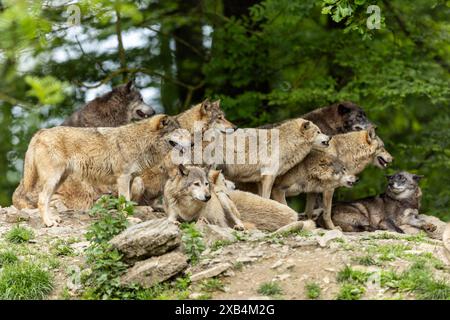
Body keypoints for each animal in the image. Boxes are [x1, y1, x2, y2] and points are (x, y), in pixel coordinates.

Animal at [22, 114, 190, 226]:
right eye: (178, 132)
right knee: (42, 199)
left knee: (47, 200)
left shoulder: (130, 179)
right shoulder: (123, 178)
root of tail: (41, 132)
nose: (193, 143)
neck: (141, 141)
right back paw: (48, 223)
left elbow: (128, 203)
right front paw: (129, 219)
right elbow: (125, 202)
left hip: (58, 180)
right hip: (53, 179)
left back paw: (52, 219)